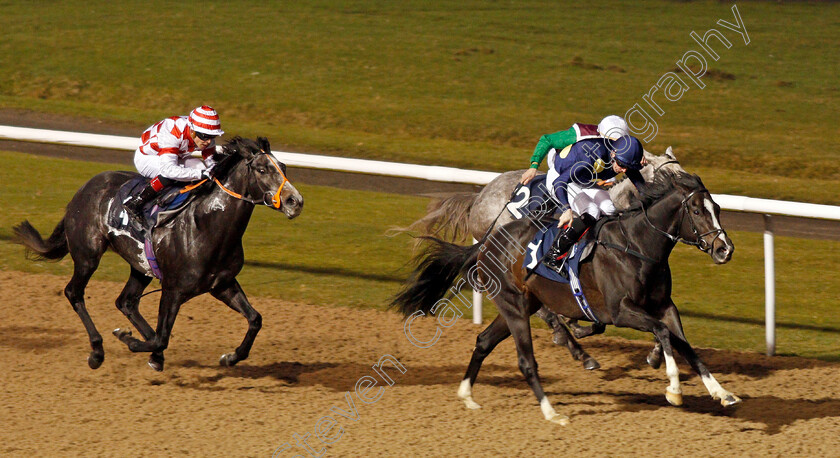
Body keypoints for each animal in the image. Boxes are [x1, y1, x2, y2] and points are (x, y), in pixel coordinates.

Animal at [13, 136, 304, 372]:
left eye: (284, 167)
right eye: (262, 169)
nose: (295, 201)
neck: (207, 227)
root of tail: (84, 189)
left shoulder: (222, 284)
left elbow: (255, 319)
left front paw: (230, 357)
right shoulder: (173, 289)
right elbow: (162, 337)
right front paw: (130, 340)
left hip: (140, 266)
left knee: (126, 301)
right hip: (88, 255)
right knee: (74, 292)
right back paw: (97, 351)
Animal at [390, 173, 740, 426]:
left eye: (718, 209)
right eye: (696, 210)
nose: (725, 250)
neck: (637, 246)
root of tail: (487, 241)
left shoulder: (665, 306)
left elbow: (686, 346)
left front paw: (722, 393)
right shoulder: (621, 311)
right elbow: (664, 334)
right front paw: (674, 389)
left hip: (517, 306)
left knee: (483, 341)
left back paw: (467, 395)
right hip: (514, 308)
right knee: (526, 361)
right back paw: (552, 412)